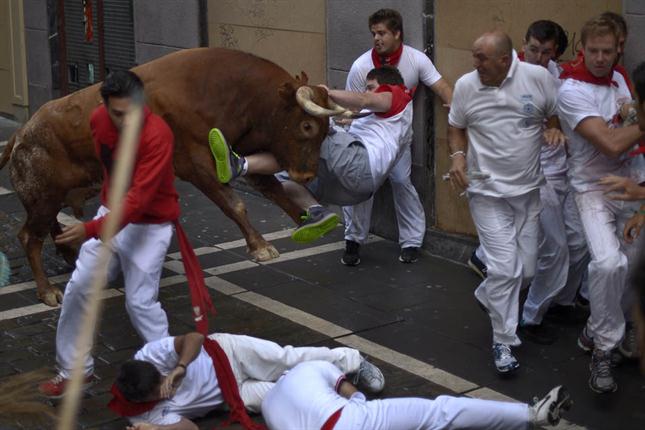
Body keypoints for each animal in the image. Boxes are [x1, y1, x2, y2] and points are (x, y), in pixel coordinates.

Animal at [0, 47, 340, 306]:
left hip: (54, 196)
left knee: (51, 227)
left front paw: (308, 221)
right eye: (307, 126)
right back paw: (48, 292)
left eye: (327, 130)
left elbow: (273, 189)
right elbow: (234, 203)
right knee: (29, 236)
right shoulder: (196, 162)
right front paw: (260, 246)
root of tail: (22, 133)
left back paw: (70, 255)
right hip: (42, 196)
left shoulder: (239, 150)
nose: (306, 175)